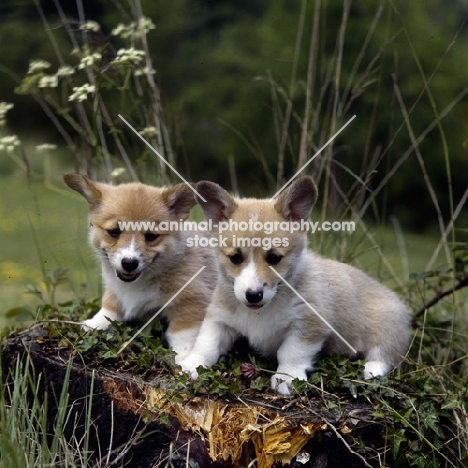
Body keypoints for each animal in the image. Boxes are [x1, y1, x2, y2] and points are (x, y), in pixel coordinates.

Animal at [63, 175, 218, 362]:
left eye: (151, 236)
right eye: (114, 231)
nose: (129, 263)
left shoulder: (192, 300)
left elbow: (182, 335)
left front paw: (184, 358)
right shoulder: (114, 288)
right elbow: (110, 306)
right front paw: (96, 323)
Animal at [179, 176, 410, 394]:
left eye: (274, 258)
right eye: (235, 258)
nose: (253, 295)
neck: (261, 310)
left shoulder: (308, 325)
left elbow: (291, 353)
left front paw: (287, 379)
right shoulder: (219, 319)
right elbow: (206, 344)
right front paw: (190, 366)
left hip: (386, 327)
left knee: (386, 355)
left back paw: (371, 370)